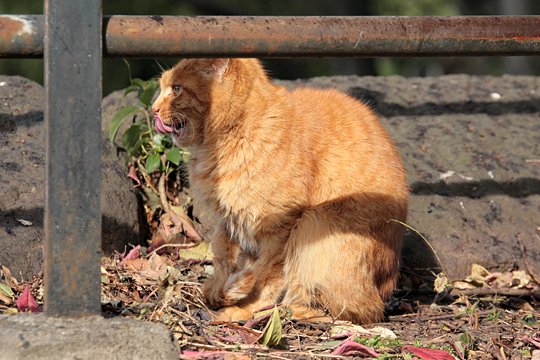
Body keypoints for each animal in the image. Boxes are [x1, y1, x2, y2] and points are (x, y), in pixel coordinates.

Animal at [150, 58, 408, 324]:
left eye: (176, 89)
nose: (153, 109)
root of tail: (388, 288)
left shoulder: (280, 227)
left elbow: (266, 277)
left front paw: (246, 307)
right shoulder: (228, 221)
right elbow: (222, 257)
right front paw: (219, 288)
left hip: (315, 223)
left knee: (357, 311)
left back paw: (291, 310)